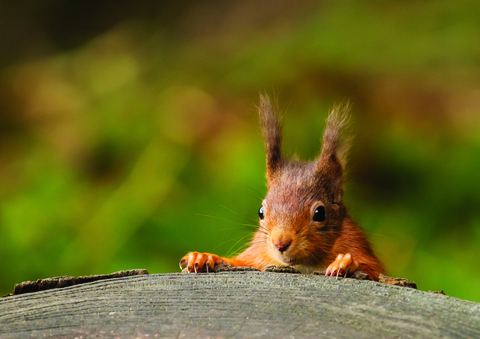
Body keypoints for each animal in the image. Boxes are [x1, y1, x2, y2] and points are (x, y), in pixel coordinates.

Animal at [181, 95, 386, 282]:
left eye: (320, 213)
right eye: (261, 212)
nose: (280, 243)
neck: (303, 264)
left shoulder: (354, 242)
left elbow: (373, 270)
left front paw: (345, 262)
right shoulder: (256, 255)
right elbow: (237, 261)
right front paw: (205, 257)